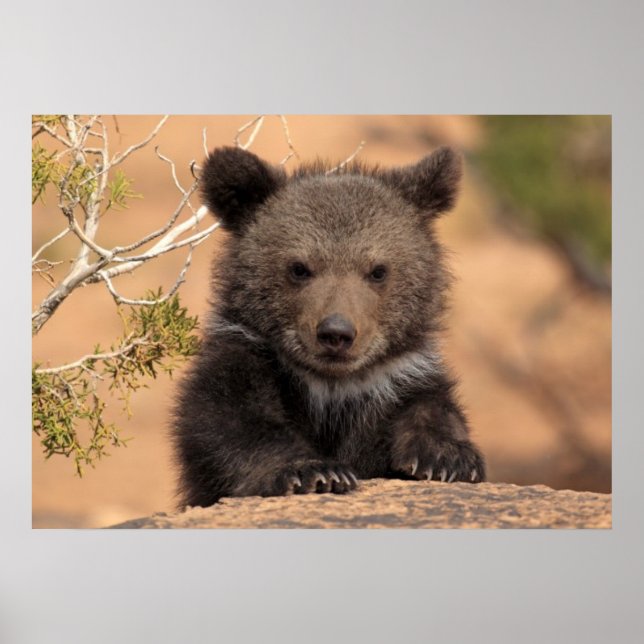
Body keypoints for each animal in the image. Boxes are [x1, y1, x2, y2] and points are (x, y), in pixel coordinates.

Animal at [172, 145, 486, 509]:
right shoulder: (247, 360)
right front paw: (314, 471)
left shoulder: (398, 378)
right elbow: (231, 421)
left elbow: (431, 407)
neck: (332, 389)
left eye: (378, 270)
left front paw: (447, 458)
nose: (336, 333)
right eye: (299, 268)